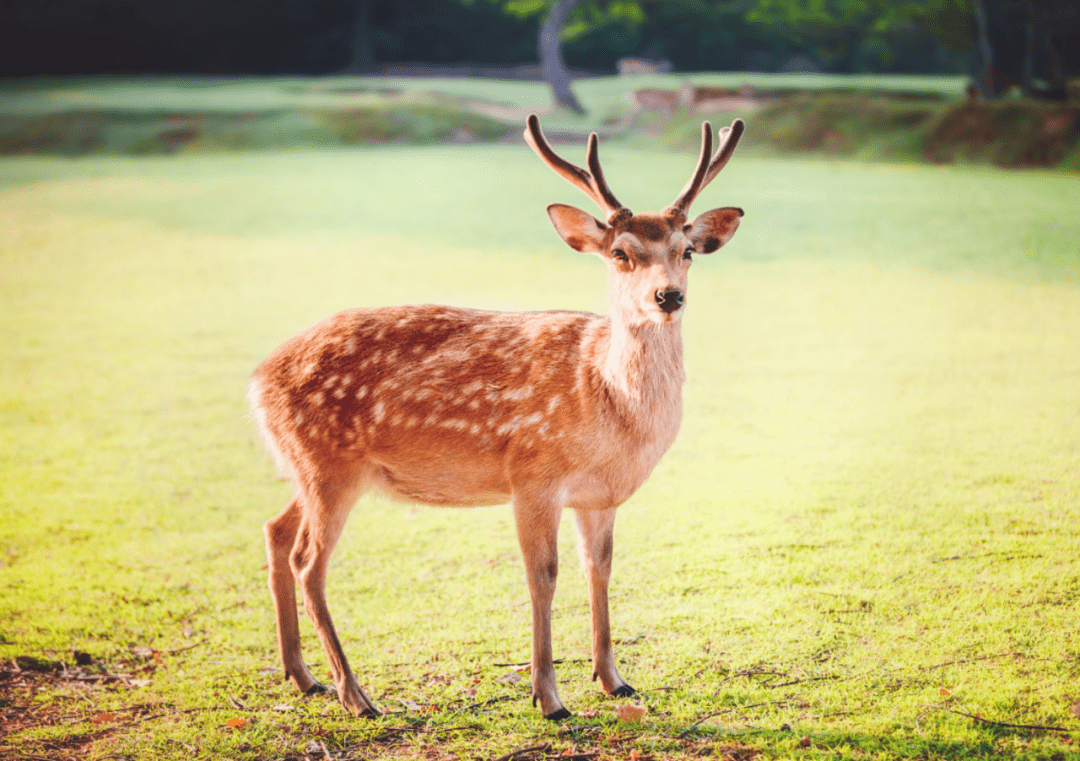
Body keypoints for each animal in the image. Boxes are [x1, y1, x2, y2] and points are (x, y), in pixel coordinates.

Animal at [248, 112, 747, 716]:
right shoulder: (532, 474)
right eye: (620, 253)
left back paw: (302, 676)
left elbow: (599, 568)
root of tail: (257, 380)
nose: (667, 297)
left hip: (311, 467)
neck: (607, 402)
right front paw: (548, 697)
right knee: (308, 561)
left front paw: (614, 679)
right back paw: (355, 694)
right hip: (327, 464)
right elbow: (543, 577)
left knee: (275, 530)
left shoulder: (599, 495)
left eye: (687, 250)